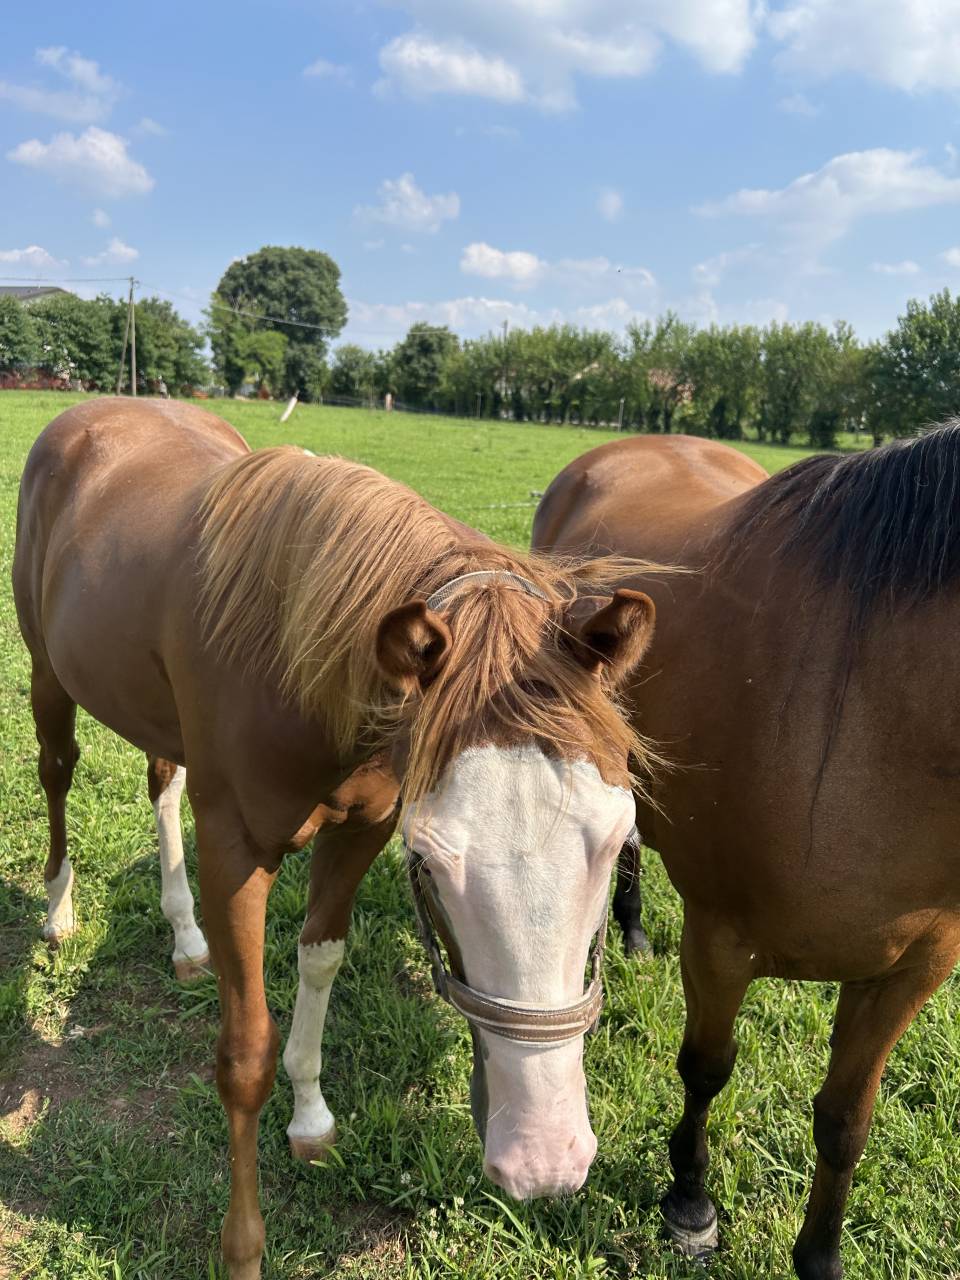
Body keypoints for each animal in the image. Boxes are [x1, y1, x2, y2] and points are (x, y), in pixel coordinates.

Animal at [13, 397, 658, 1280]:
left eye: (620, 843)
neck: (298, 657)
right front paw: (243, 1248)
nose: (545, 1160)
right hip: (48, 675)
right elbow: (245, 1055)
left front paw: (312, 1117)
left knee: (162, 782)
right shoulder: (235, 852)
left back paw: (184, 937)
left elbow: (321, 959)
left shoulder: (363, 828)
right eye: (430, 863)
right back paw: (59, 912)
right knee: (56, 772)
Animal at [533, 429, 960, 1280]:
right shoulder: (720, 940)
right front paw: (690, 1204)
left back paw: (632, 929)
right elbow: (706, 1066)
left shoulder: (911, 971)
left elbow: (846, 1121)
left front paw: (820, 1255)